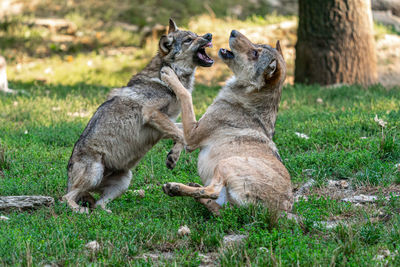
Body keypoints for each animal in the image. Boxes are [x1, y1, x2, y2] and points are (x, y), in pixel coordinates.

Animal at [62, 19, 214, 214]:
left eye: (197, 35)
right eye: (189, 39)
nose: (209, 35)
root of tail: (69, 177)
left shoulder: (165, 124)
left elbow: (180, 134)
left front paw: (173, 155)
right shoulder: (152, 115)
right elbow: (181, 135)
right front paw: (173, 157)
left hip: (124, 180)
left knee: (99, 204)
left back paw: (109, 215)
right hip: (94, 173)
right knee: (66, 197)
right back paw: (80, 211)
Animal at [159, 30, 294, 217]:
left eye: (255, 53)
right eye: (257, 45)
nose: (233, 32)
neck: (248, 98)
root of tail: (277, 212)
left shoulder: (193, 134)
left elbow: (185, 95)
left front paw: (169, 75)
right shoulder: (192, 129)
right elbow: (174, 129)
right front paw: (172, 155)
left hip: (226, 163)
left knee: (213, 192)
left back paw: (174, 187)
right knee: (215, 207)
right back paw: (190, 189)